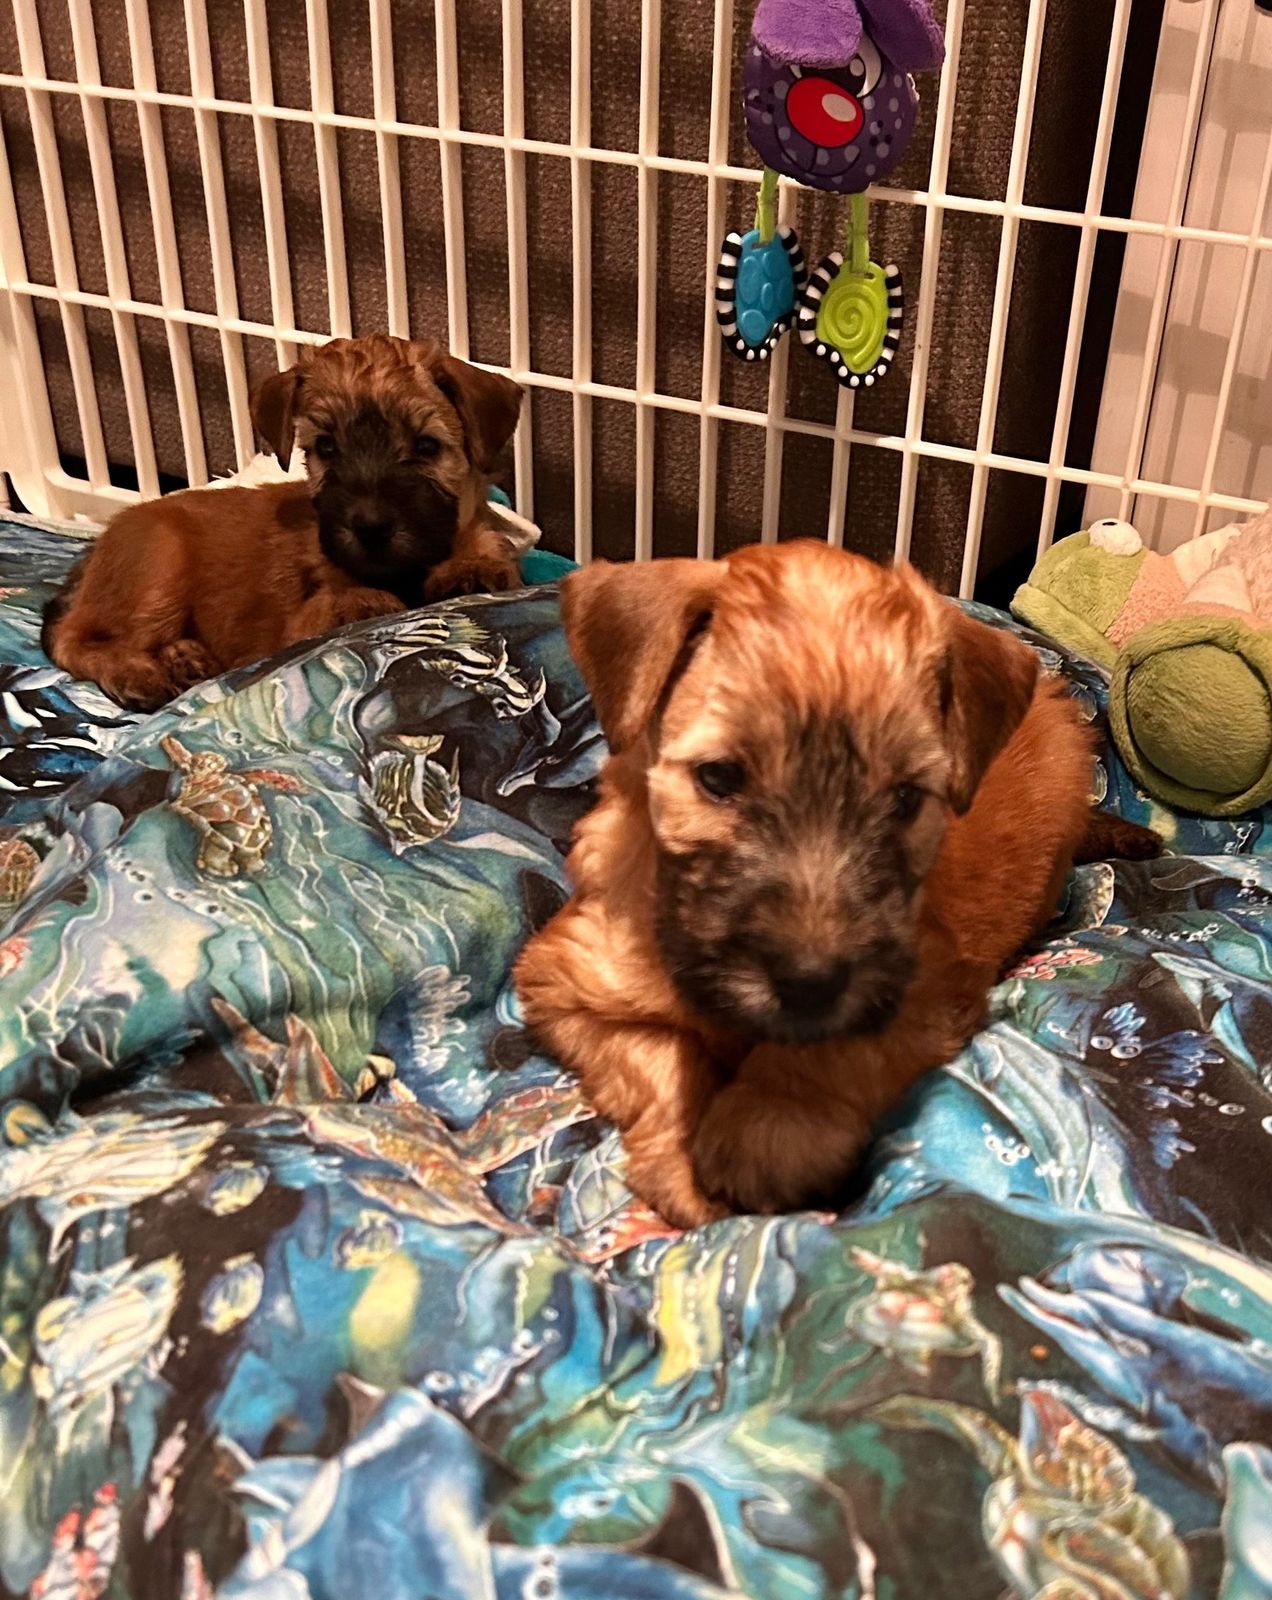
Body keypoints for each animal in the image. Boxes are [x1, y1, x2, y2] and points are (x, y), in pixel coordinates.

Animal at [42, 336, 524, 710]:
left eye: (426, 446)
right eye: (326, 446)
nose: (369, 526)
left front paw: (471, 568)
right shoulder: (296, 627)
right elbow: (339, 603)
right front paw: (362, 601)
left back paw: (185, 656)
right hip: (160, 562)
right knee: (76, 638)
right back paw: (138, 673)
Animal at [515, 541, 1159, 1227]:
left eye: (904, 798)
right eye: (718, 777)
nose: (809, 980)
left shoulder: (923, 983)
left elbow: (834, 1048)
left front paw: (768, 1124)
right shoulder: (567, 983)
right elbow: (661, 1055)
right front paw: (686, 1158)